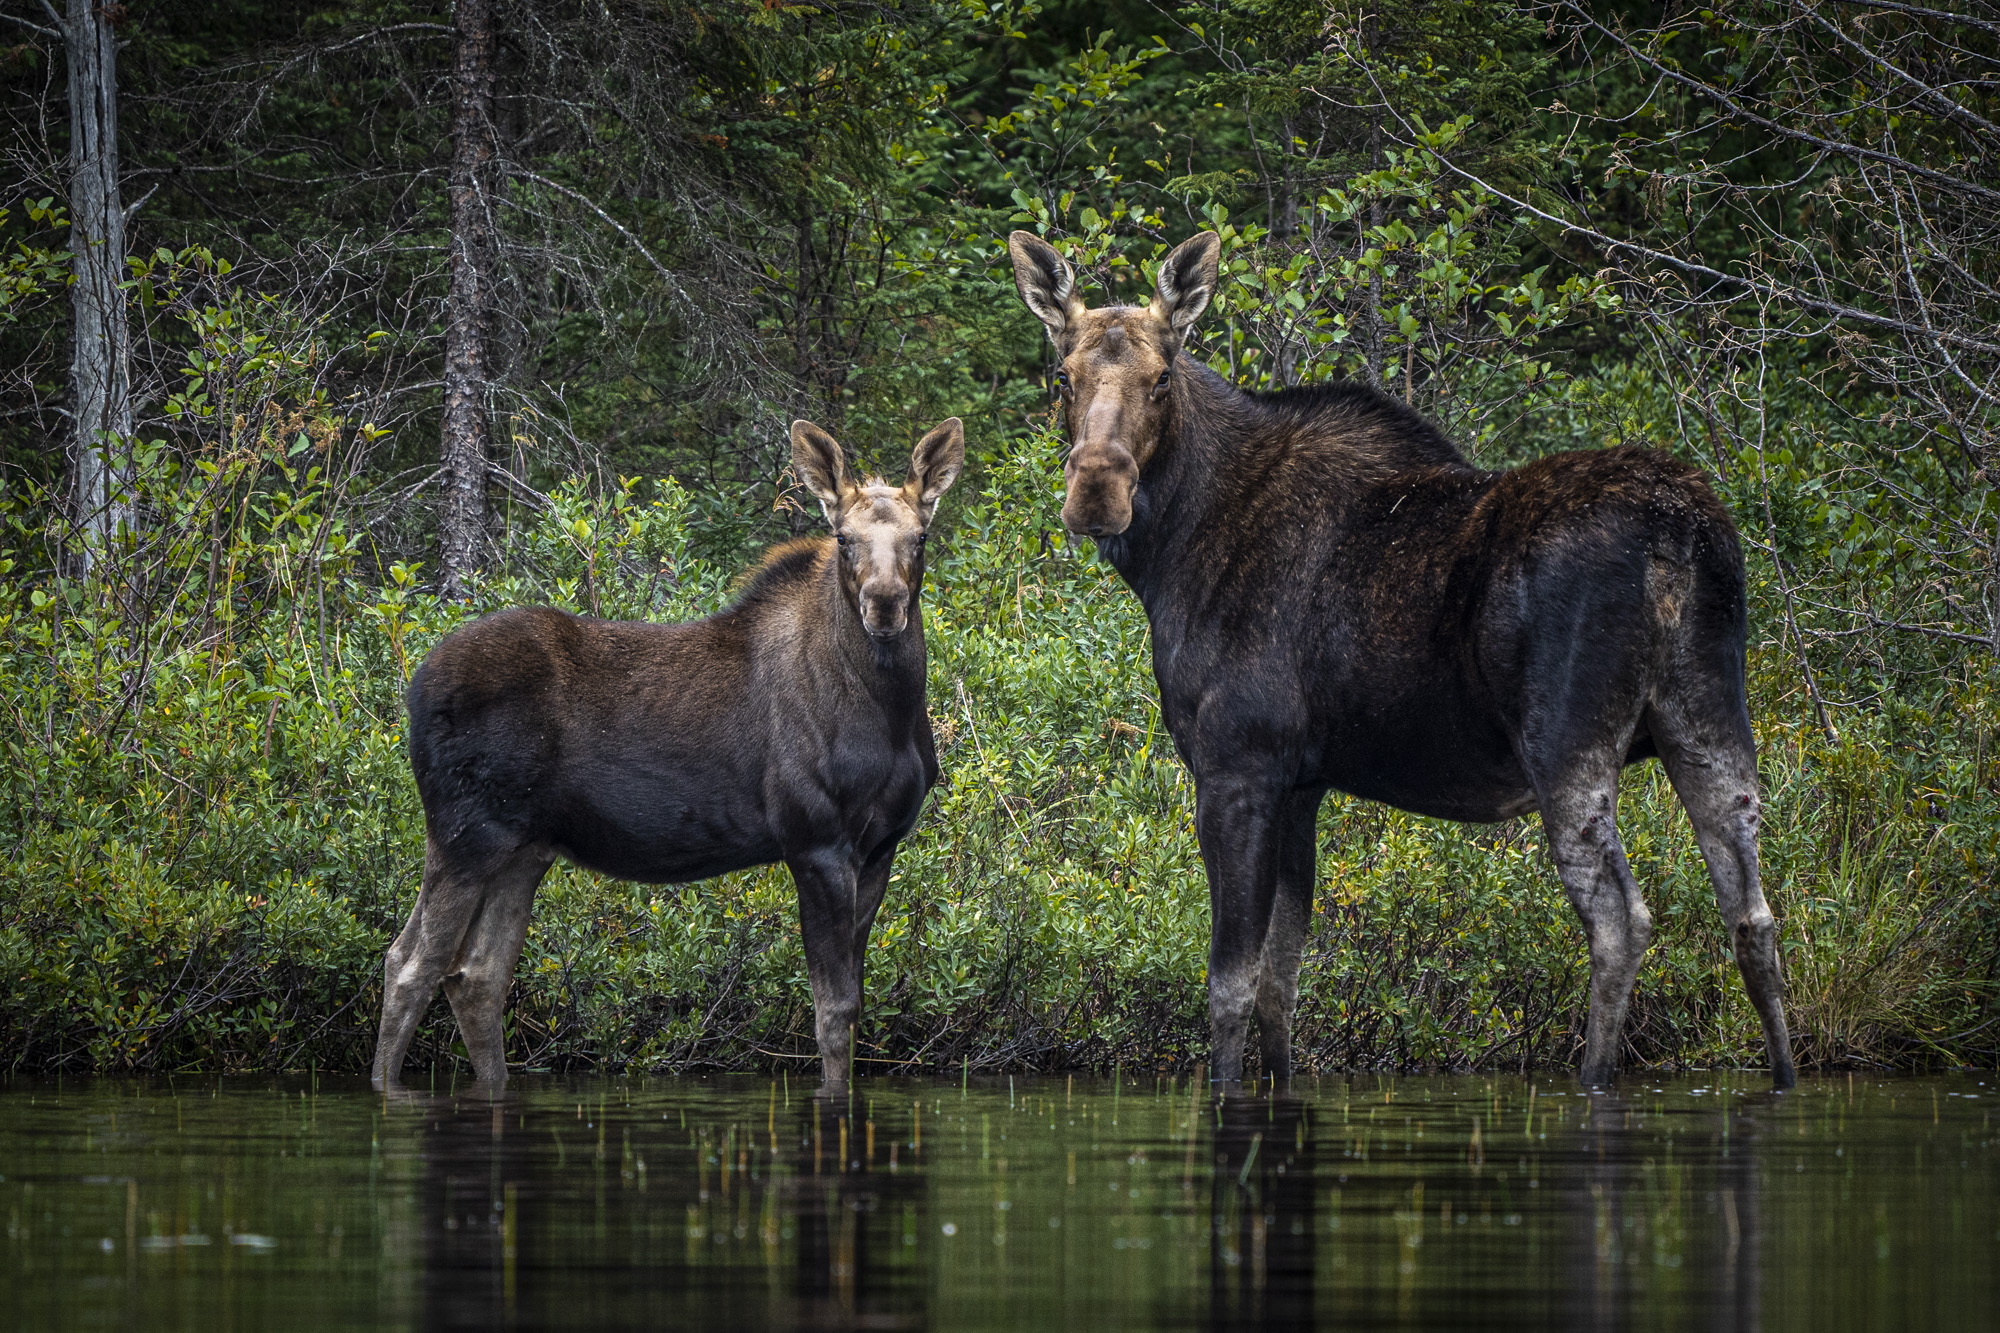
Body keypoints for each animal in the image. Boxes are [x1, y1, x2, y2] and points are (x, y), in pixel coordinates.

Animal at [378, 418, 972, 1088]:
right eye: (843, 538)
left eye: (921, 535)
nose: (885, 604)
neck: (889, 717)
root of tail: (413, 689)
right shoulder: (814, 841)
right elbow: (834, 1010)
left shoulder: (881, 846)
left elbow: (852, 1005)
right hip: (466, 833)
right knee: (409, 964)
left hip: (523, 848)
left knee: (477, 975)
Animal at [1016, 228, 1800, 1088]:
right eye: (1062, 375)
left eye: (1161, 377)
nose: (1096, 491)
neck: (1171, 553)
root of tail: (1681, 531)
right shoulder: (1303, 783)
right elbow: (1281, 984)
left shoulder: (1236, 768)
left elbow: (1230, 983)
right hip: (1710, 718)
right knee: (1754, 914)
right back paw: (1785, 1076)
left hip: (1569, 744)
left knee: (1620, 920)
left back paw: (1594, 1078)